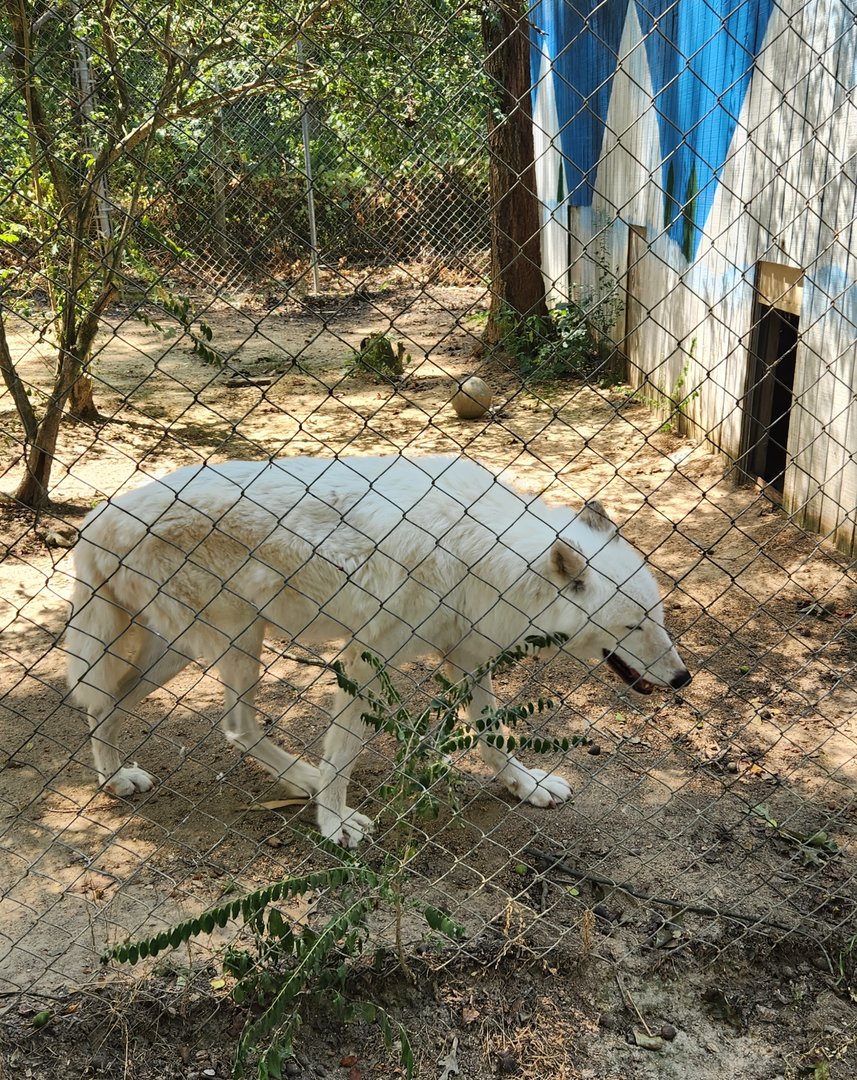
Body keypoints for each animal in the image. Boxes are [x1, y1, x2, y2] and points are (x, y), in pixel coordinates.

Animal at [65, 454, 691, 847]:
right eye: (634, 625)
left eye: (659, 617)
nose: (683, 679)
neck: (484, 553)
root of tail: (96, 518)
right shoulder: (363, 659)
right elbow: (344, 752)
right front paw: (335, 822)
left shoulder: (468, 657)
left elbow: (493, 736)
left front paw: (526, 787)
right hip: (236, 641)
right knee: (234, 726)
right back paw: (302, 780)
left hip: (183, 650)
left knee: (108, 704)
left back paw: (117, 778)